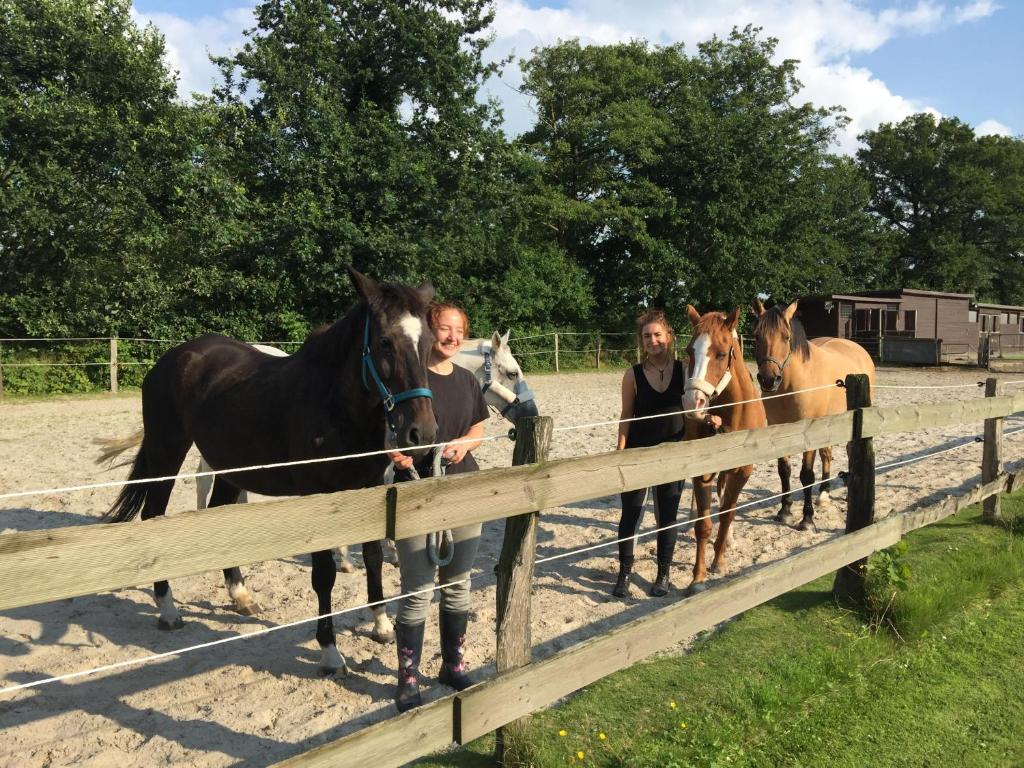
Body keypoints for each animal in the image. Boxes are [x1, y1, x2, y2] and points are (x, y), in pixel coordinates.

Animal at [679, 307, 770, 593]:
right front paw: (698, 577)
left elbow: (728, 514)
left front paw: (719, 561)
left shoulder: (742, 471)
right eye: (689, 351)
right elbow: (704, 525)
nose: (692, 402)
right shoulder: (702, 472)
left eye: (720, 354)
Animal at [749, 303, 876, 532]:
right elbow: (784, 471)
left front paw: (807, 519)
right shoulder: (778, 429)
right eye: (756, 336)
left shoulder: (808, 432)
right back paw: (824, 494)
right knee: (827, 454)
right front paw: (785, 511)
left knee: (849, 449)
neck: (791, 385)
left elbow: (806, 475)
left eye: (786, 337)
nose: (769, 379)